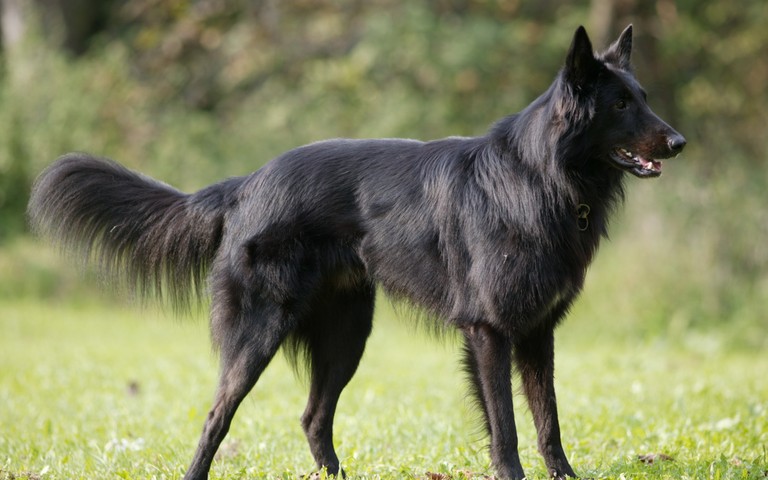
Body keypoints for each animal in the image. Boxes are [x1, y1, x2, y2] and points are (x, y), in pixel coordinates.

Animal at [28, 25, 684, 480]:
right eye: (620, 105)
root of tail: (246, 184)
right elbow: (507, 428)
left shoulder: (538, 332)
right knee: (217, 416)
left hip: (347, 337)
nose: (680, 142)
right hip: (259, 334)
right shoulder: (490, 332)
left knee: (313, 417)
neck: (539, 179)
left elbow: (549, 422)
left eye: (643, 97)